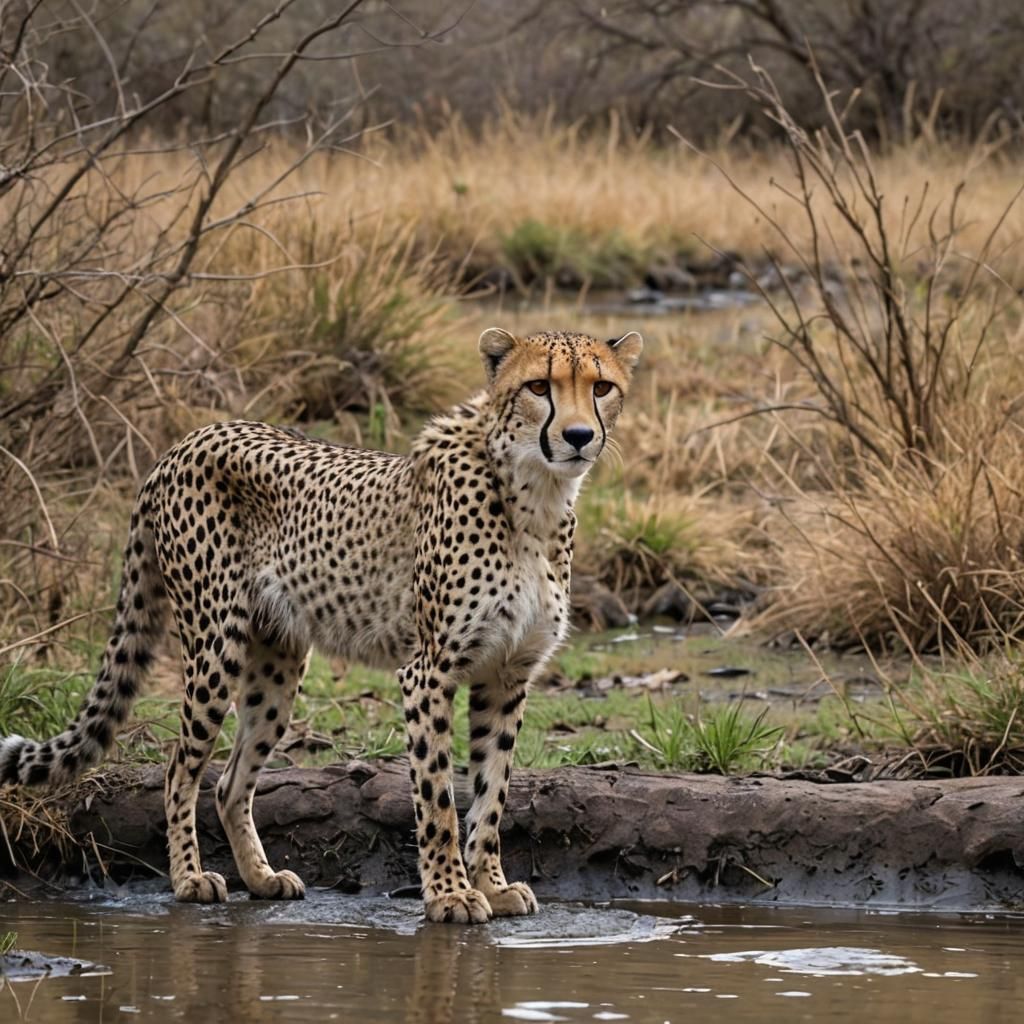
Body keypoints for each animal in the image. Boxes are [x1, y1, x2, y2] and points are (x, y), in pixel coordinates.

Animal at [0, 327, 643, 923]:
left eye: (601, 387)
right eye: (539, 387)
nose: (579, 437)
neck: (536, 496)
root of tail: (185, 441)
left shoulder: (505, 677)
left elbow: (492, 794)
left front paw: (491, 885)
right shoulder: (428, 673)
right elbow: (437, 798)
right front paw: (451, 895)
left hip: (275, 664)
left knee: (230, 781)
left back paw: (260, 879)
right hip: (214, 647)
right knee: (180, 767)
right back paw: (189, 879)